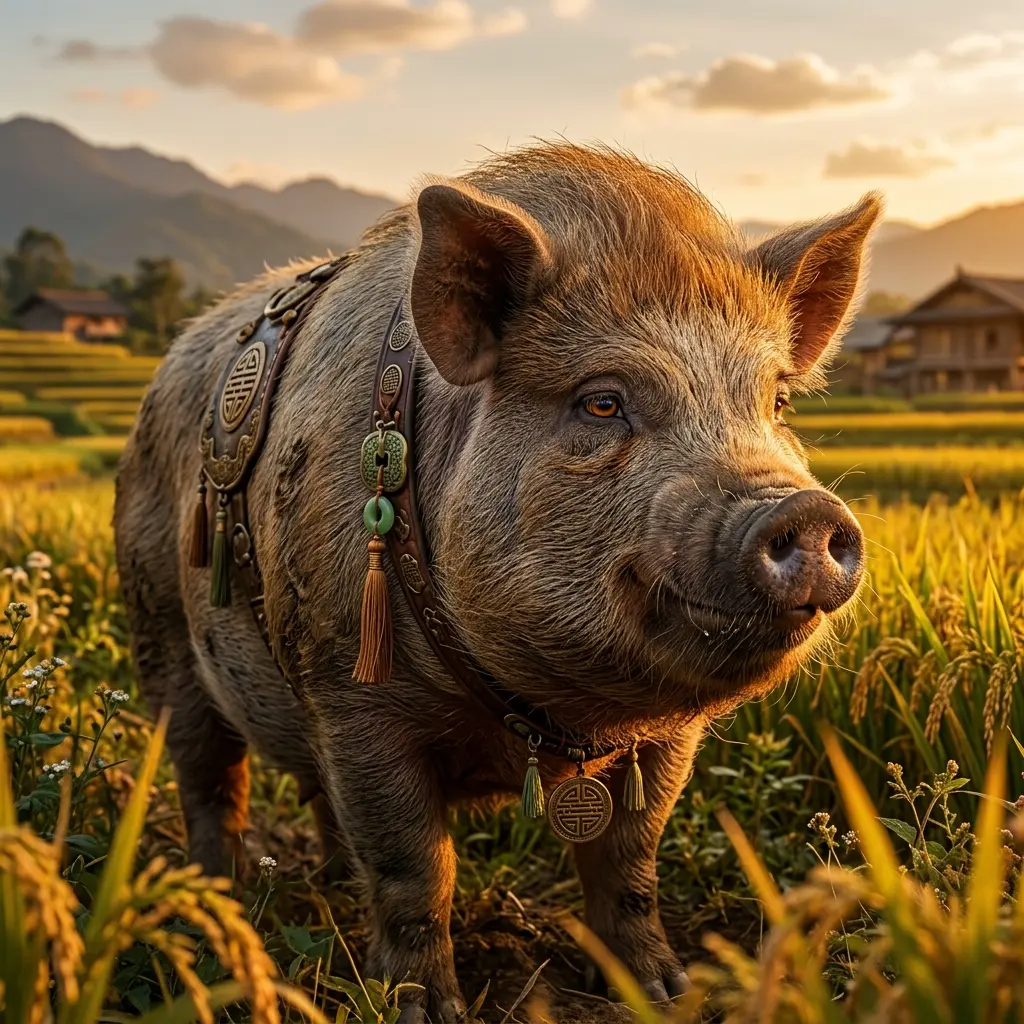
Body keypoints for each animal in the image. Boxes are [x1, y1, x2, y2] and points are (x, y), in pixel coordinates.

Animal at [114, 142, 878, 1022]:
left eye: (776, 401)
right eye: (602, 401)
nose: (804, 509)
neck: (544, 712)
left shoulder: (666, 737)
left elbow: (631, 855)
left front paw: (663, 991)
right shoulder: (351, 692)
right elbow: (416, 866)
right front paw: (428, 1011)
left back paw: (329, 886)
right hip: (158, 625)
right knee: (208, 774)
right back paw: (216, 900)